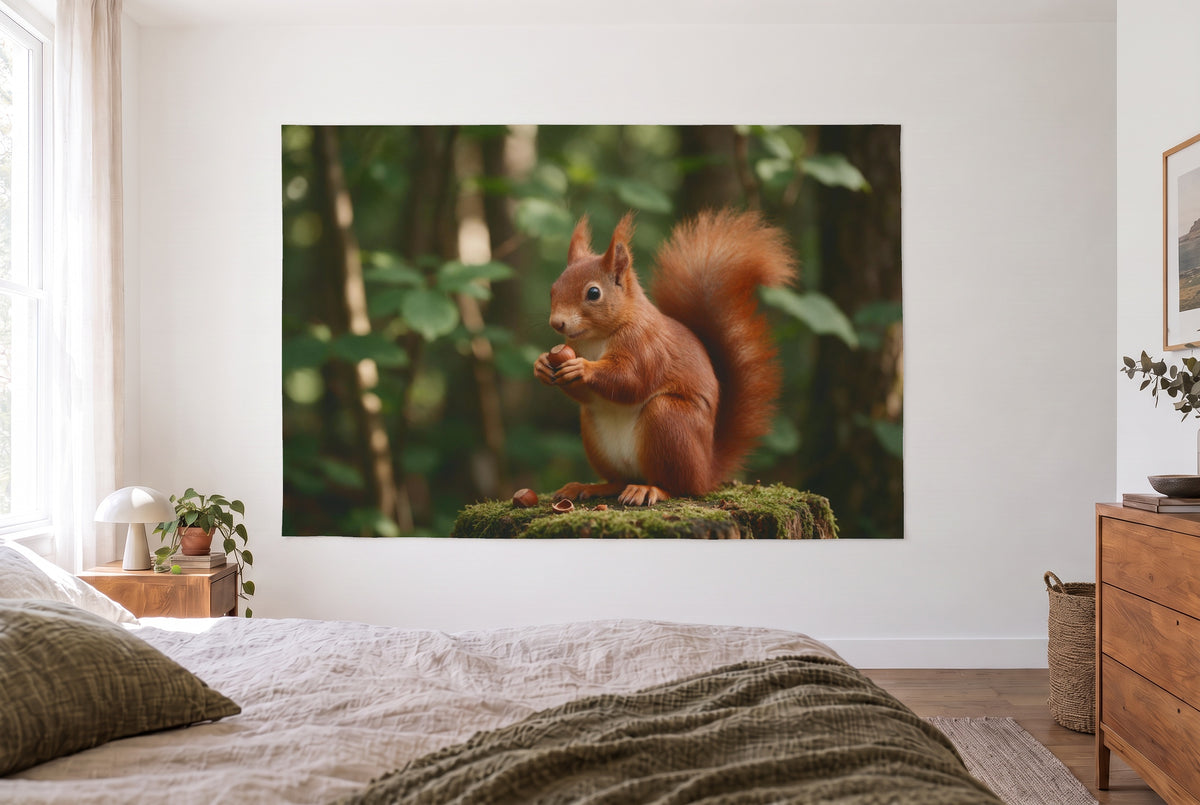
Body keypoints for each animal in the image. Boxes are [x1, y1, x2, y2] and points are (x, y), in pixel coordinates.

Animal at [533, 208, 797, 506]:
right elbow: (587, 394)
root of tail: (707, 471)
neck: (596, 338)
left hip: (669, 422)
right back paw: (592, 487)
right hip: (594, 432)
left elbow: (630, 380)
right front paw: (541, 365)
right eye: (553, 289)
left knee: (678, 486)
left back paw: (650, 490)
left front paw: (583, 368)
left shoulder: (646, 347)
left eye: (593, 293)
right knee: (619, 479)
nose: (557, 323)